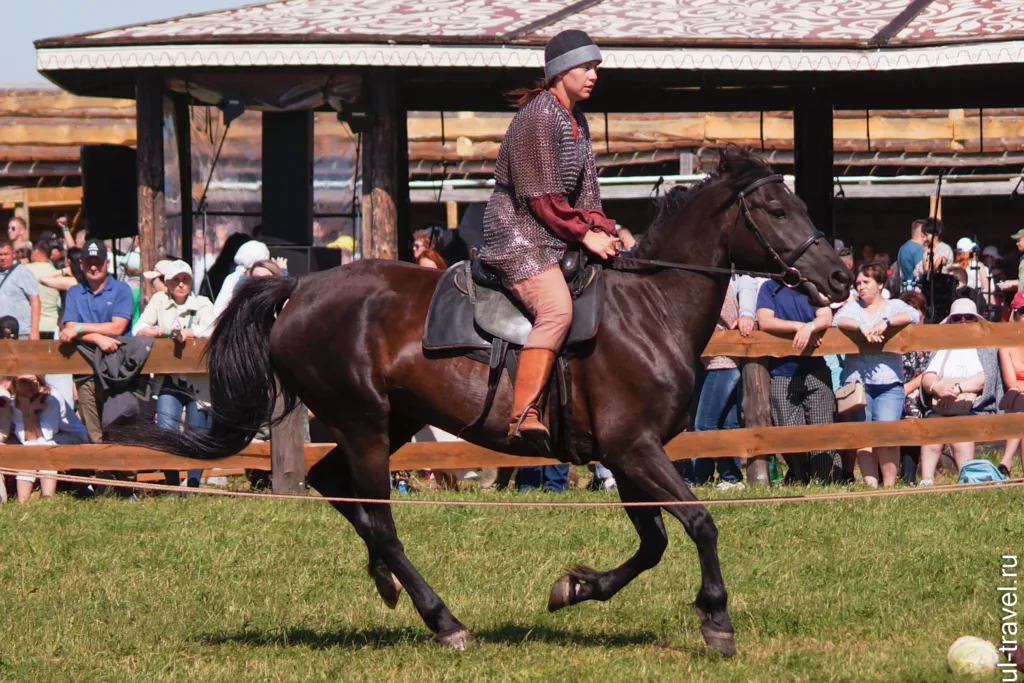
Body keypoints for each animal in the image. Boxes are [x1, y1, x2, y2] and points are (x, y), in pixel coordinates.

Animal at [123, 148, 851, 655]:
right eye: (777, 210)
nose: (841, 277)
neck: (652, 307)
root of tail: (297, 291)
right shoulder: (635, 449)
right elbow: (698, 524)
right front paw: (716, 618)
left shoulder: (626, 456)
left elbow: (651, 543)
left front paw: (576, 585)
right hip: (364, 425)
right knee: (380, 520)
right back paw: (445, 621)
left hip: (392, 421)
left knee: (340, 492)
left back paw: (388, 584)